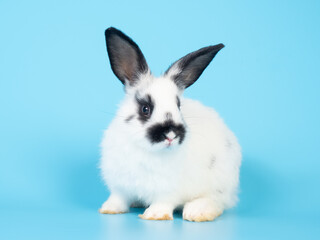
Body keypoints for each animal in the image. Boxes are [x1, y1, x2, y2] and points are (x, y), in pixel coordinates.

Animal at [99, 27, 241, 222]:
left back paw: (197, 212)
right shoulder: (119, 185)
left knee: (216, 200)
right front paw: (109, 209)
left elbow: (163, 202)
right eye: (145, 108)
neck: (146, 150)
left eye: (178, 106)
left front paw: (154, 215)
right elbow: (118, 198)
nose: (171, 135)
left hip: (219, 182)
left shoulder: (168, 191)